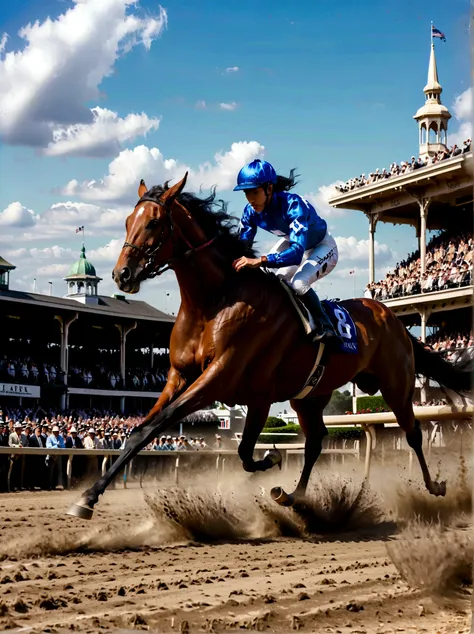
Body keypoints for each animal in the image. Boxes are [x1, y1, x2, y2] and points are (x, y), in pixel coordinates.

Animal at [67, 174, 470, 520]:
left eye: (153, 223)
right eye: (125, 222)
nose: (122, 274)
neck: (214, 300)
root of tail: (390, 316)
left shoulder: (222, 379)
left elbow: (200, 436)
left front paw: (272, 459)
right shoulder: (183, 377)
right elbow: (144, 432)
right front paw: (87, 497)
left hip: (396, 384)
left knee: (413, 433)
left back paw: (435, 486)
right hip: (309, 397)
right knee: (316, 442)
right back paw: (295, 496)